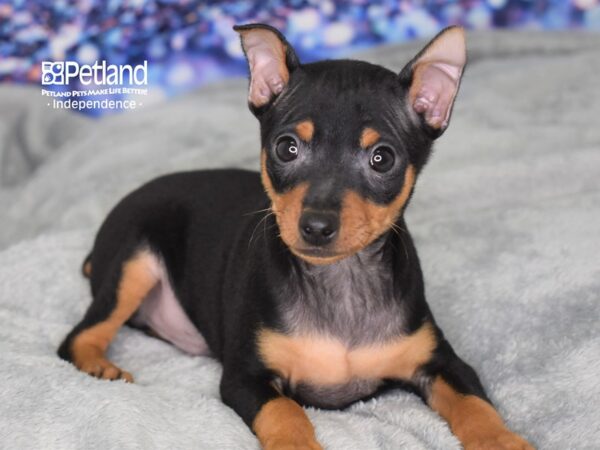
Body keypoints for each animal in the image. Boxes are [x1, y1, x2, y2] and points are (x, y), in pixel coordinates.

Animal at [58, 23, 532, 450]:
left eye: (382, 158)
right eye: (287, 148)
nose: (317, 226)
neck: (343, 282)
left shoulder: (443, 363)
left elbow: (475, 404)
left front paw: (503, 441)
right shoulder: (245, 378)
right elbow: (285, 412)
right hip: (133, 262)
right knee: (78, 337)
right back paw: (99, 366)